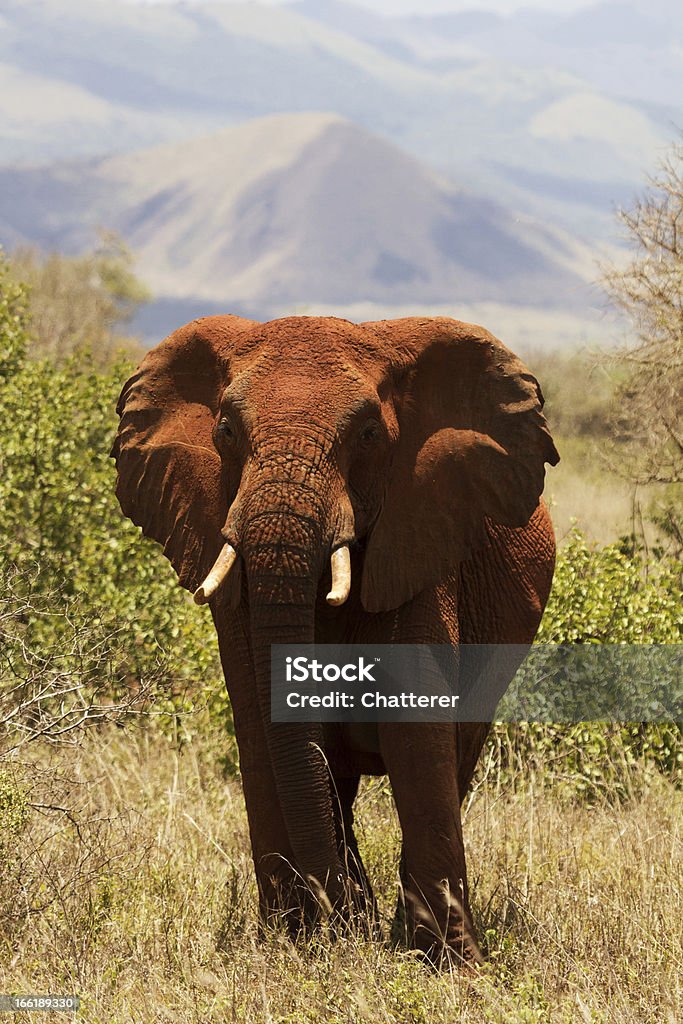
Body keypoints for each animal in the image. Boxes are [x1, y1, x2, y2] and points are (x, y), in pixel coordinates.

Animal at [112, 315, 557, 962]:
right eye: (225, 430)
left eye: (369, 434)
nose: (340, 924)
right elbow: (263, 727)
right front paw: (290, 944)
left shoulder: (421, 537)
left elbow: (417, 734)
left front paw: (453, 966)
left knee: (457, 754)